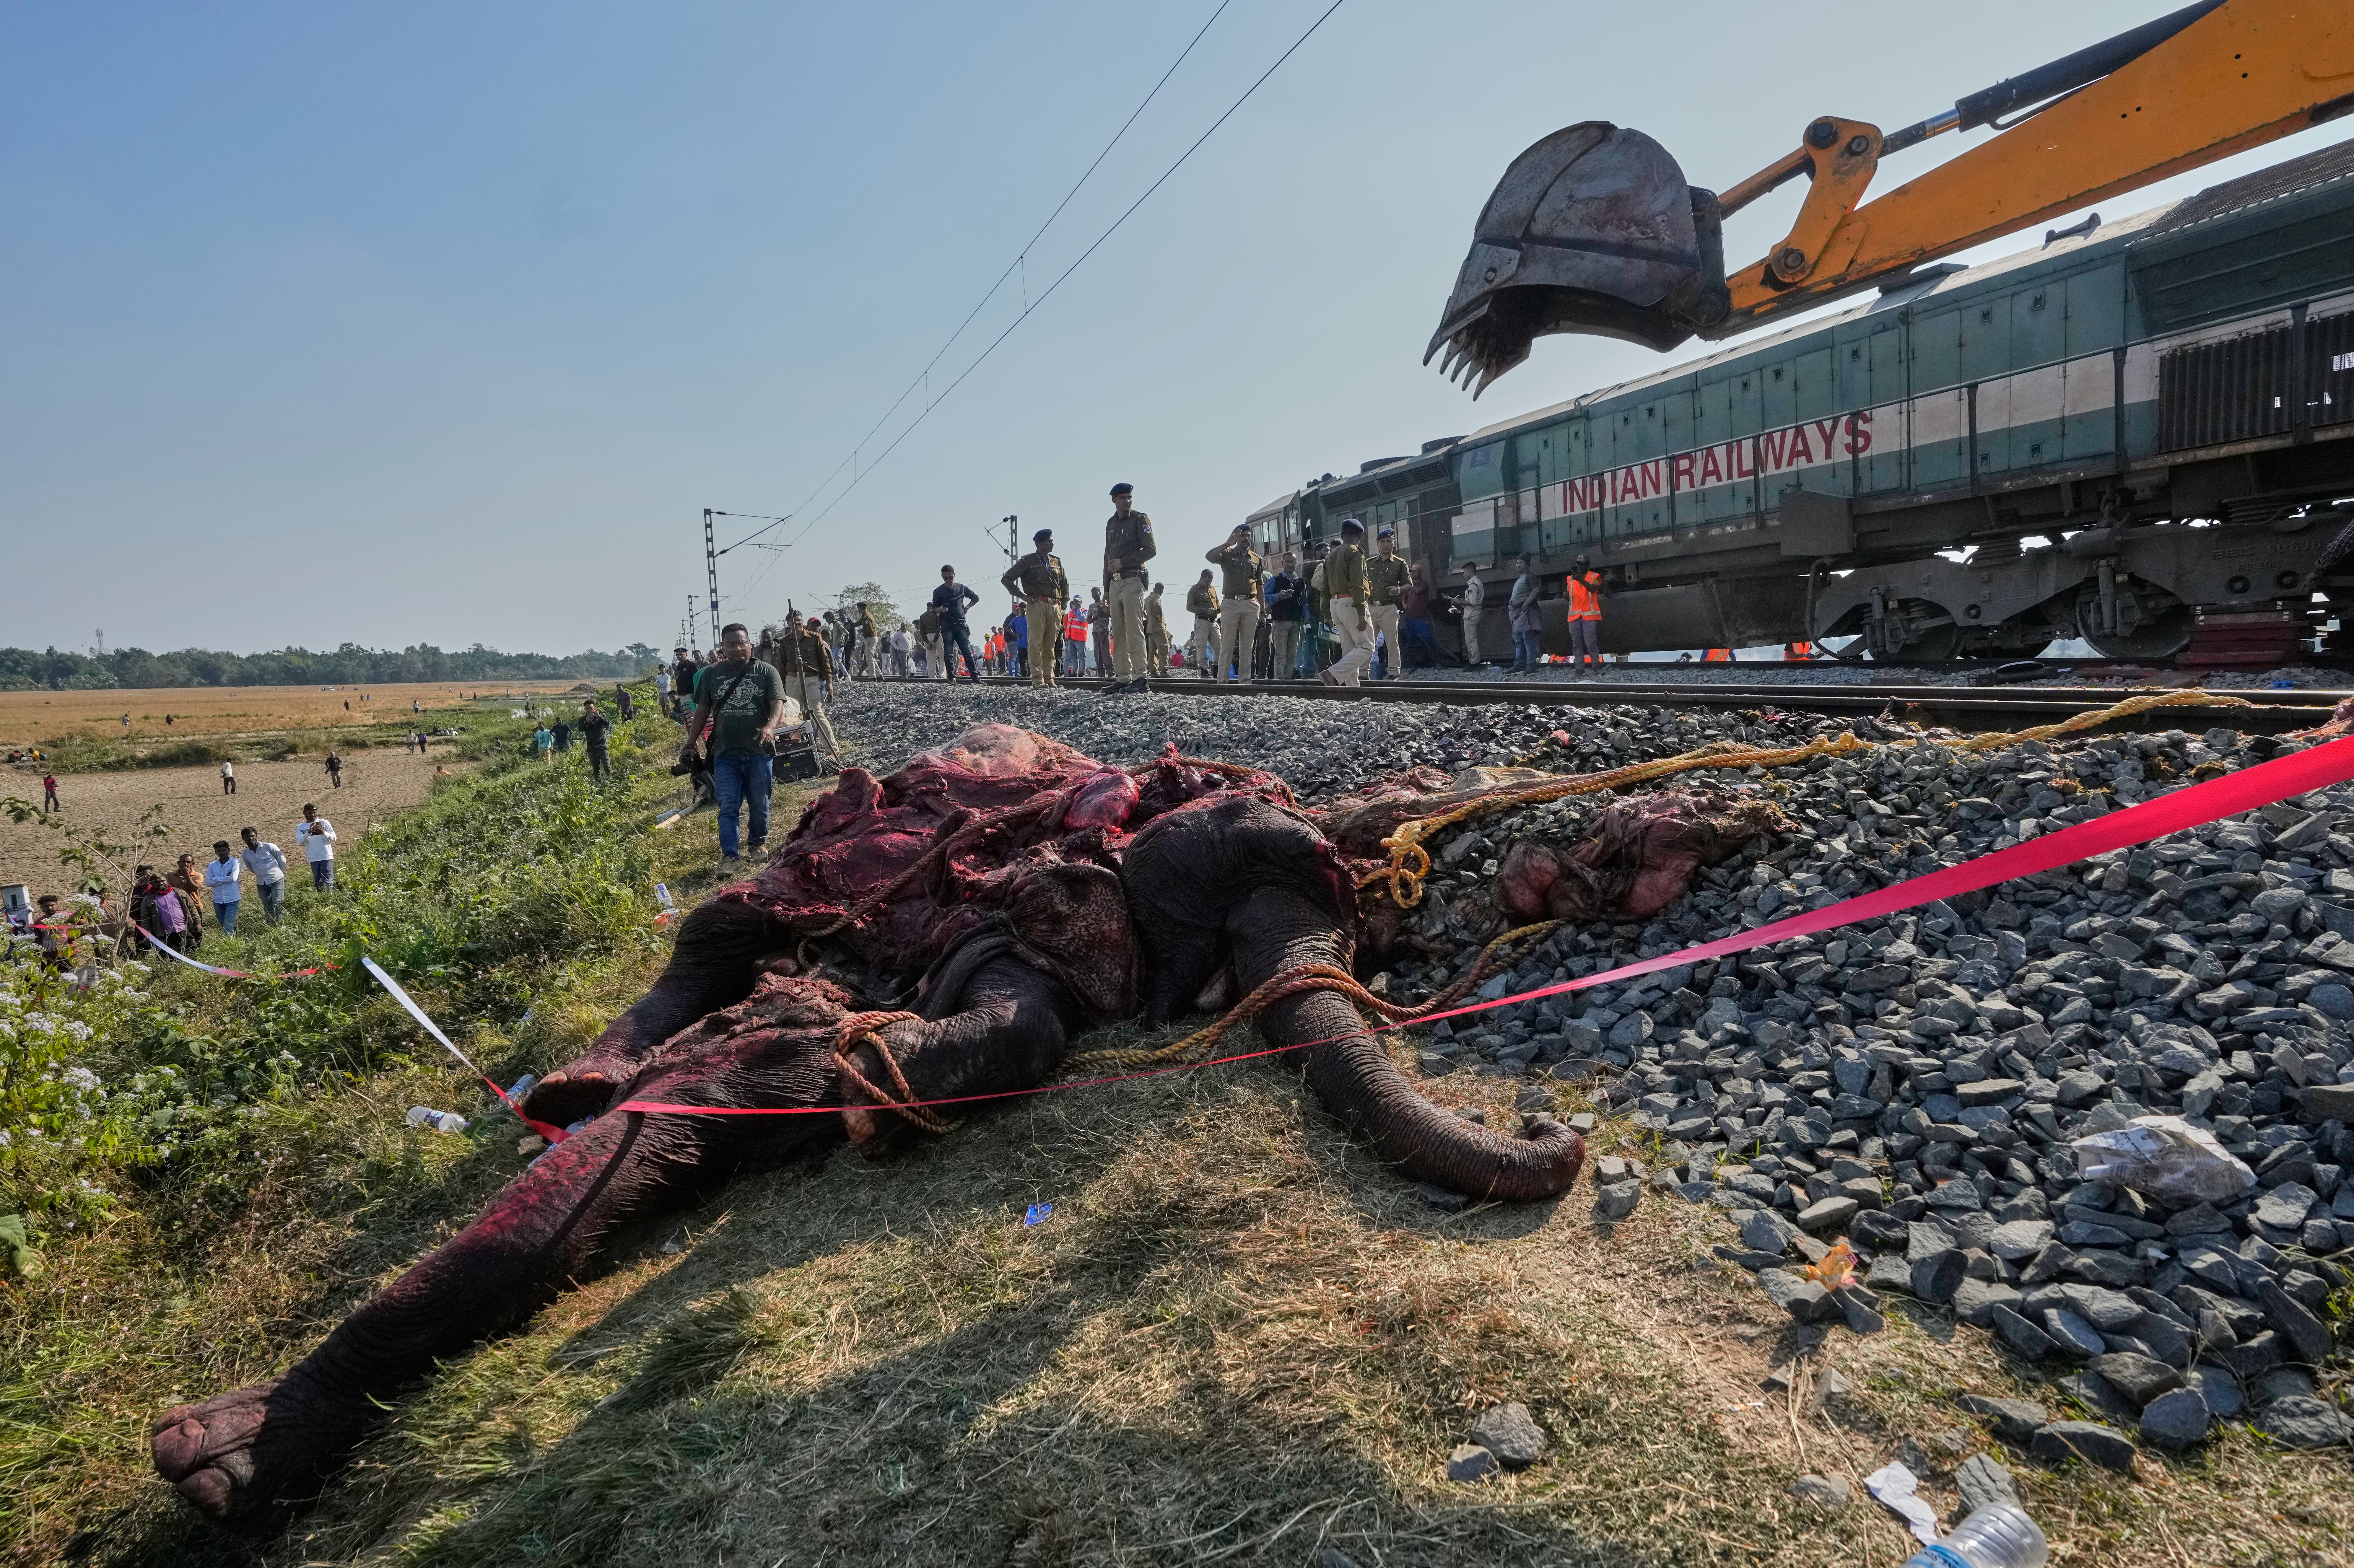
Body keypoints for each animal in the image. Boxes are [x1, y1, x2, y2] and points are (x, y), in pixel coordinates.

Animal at [151, 722, 1765, 1527]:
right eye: (1240, 904)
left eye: (1354, 938)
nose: (1553, 1132)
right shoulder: (1011, 898)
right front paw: (798, 1043)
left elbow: (1004, 1040)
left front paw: (828, 1068)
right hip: (816, 848)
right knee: (717, 926)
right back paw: (577, 1088)